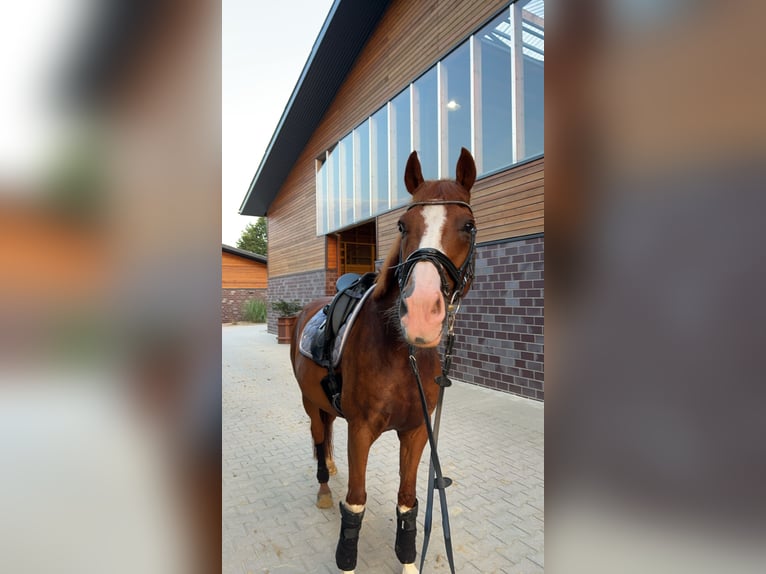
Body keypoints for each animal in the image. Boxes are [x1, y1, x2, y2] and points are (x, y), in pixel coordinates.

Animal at [292, 150, 476, 574]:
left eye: (469, 226)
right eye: (403, 225)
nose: (421, 312)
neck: (399, 354)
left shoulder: (416, 432)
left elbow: (407, 503)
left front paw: (409, 561)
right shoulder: (360, 431)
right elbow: (355, 504)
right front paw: (346, 560)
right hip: (310, 403)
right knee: (318, 436)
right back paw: (324, 484)